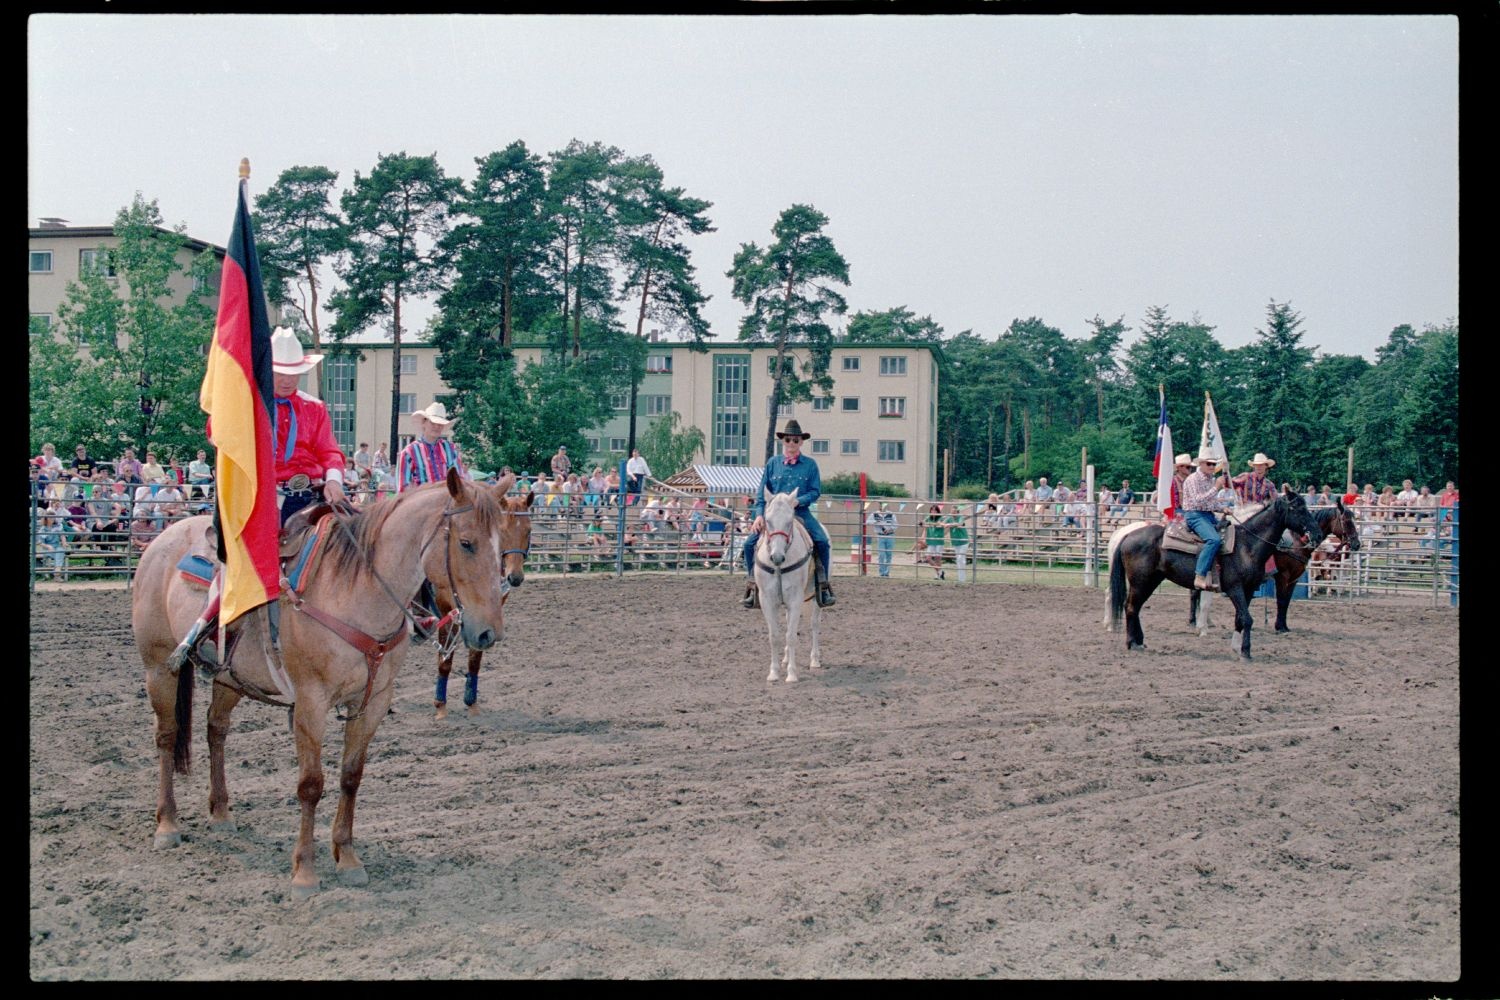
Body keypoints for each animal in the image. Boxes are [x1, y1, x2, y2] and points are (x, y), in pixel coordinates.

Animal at [136, 470, 522, 899]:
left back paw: (220, 811)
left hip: (228, 678)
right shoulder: (310, 703)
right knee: (167, 736)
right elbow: (311, 784)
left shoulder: (372, 702)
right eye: (466, 542)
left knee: (215, 729)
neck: (356, 591)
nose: (489, 632)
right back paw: (167, 823)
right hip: (159, 668)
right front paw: (305, 872)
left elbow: (350, 777)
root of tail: (162, 540)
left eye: (502, 543)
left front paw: (348, 858)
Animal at [432, 479, 537, 716]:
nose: (515, 577)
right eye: (503, 530)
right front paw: (440, 705)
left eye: (528, 531)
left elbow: (475, 656)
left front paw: (471, 702)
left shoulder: (484, 616)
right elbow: (445, 657)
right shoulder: (446, 610)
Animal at [756, 488, 828, 683]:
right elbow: (775, 636)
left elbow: (791, 636)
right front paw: (773, 673)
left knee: (815, 624)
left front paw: (792, 674)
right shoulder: (767, 600)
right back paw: (786, 659)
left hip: (815, 597)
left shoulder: (796, 599)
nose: (777, 557)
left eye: (789, 522)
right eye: (768, 521)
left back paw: (814, 660)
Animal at [1104, 488, 1326, 659]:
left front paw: (1236, 647)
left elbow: (1240, 618)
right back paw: (1131, 643)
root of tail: (1127, 535)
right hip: (1140, 581)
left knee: (1135, 607)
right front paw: (1245, 652)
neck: (1247, 545)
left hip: (1151, 580)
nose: (1317, 534)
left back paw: (1139, 641)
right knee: (1131, 607)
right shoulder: (1235, 588)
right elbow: (1247, 619)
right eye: (1298, 508)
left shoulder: (1249, 589)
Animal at [1188, 497, 1368, 632]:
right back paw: (1194, 621)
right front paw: (1279, 627)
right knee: (1195, 592)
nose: (1357, 544)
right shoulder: (1283, 576)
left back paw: (1204, 621)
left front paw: (1284, 626)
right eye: (1346, 521)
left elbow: (1286, 601)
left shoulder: (1294, 578)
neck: (1297, 542)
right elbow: (1281, 600)